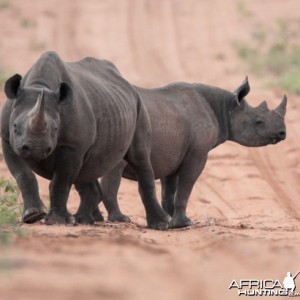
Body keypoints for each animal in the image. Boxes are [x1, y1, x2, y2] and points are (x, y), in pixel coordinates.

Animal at [0, 51, 170, 230]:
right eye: (15, 126)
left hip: (139, 107)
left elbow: (60, 182)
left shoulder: (72, 146)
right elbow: (24, 175)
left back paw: (160, 224)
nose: (36, 149)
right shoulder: (8, 140)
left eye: (55, 130)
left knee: (139, 158)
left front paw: (57, 221)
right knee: (88, 168)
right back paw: (83, 220)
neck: (40, 85)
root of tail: (127, 83)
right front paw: (32, 215)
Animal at [79, 77, 286, 227]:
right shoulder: (197, 154)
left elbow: (169, 190)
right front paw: (184, 223)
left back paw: (96, 218)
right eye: (259, 122)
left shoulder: (172, 154)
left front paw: (170, 219)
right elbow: (186, 186)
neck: (225, 108)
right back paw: (120, 219)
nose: (282, 133)